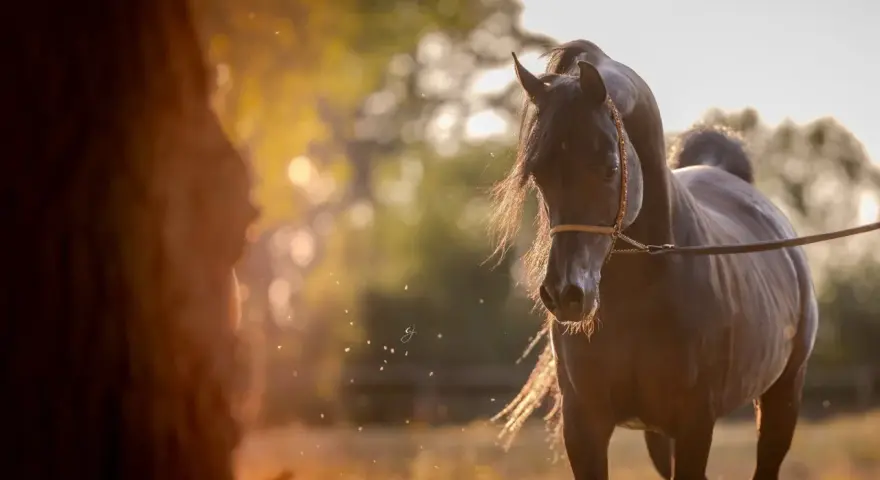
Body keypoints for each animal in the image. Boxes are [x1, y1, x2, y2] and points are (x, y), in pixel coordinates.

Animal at [489, 40, 818, 480]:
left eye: (610, 167)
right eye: (538, 172)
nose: (565, 294)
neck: (639, 297)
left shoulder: (696, 424)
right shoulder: (585, 427)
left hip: (783, 397)